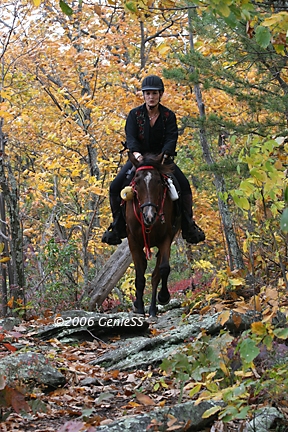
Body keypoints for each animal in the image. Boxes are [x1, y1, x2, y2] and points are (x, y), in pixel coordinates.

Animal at [125, 153, 181, 318]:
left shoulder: (166, 238)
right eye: (136, 182)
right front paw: (139, 308)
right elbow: (139, 276)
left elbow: (163, 269)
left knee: (157, 273)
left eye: (158, 181)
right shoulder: (133, 241)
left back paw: (153, 309)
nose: (149, 216)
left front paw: (163, 297)